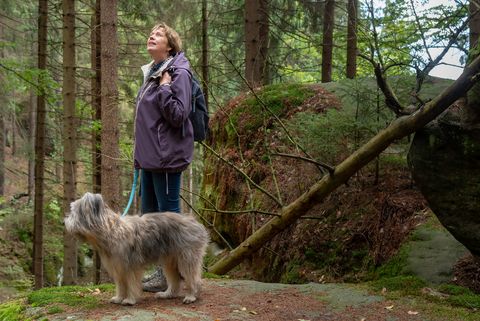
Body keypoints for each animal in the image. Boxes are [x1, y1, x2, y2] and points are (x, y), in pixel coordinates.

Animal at [64, 192, 209, 304]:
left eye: (73, 213)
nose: (64, 222)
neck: (110, 231)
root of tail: (196, 223)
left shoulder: (130, 266)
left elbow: (131, 284)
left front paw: (129, 300)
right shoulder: (118, 267)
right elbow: (121, 285)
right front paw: (119, 298)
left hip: (187, 258)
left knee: (193, 278)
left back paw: (191, 296)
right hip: (171, 260)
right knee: (175, 280)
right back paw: (167, 294)